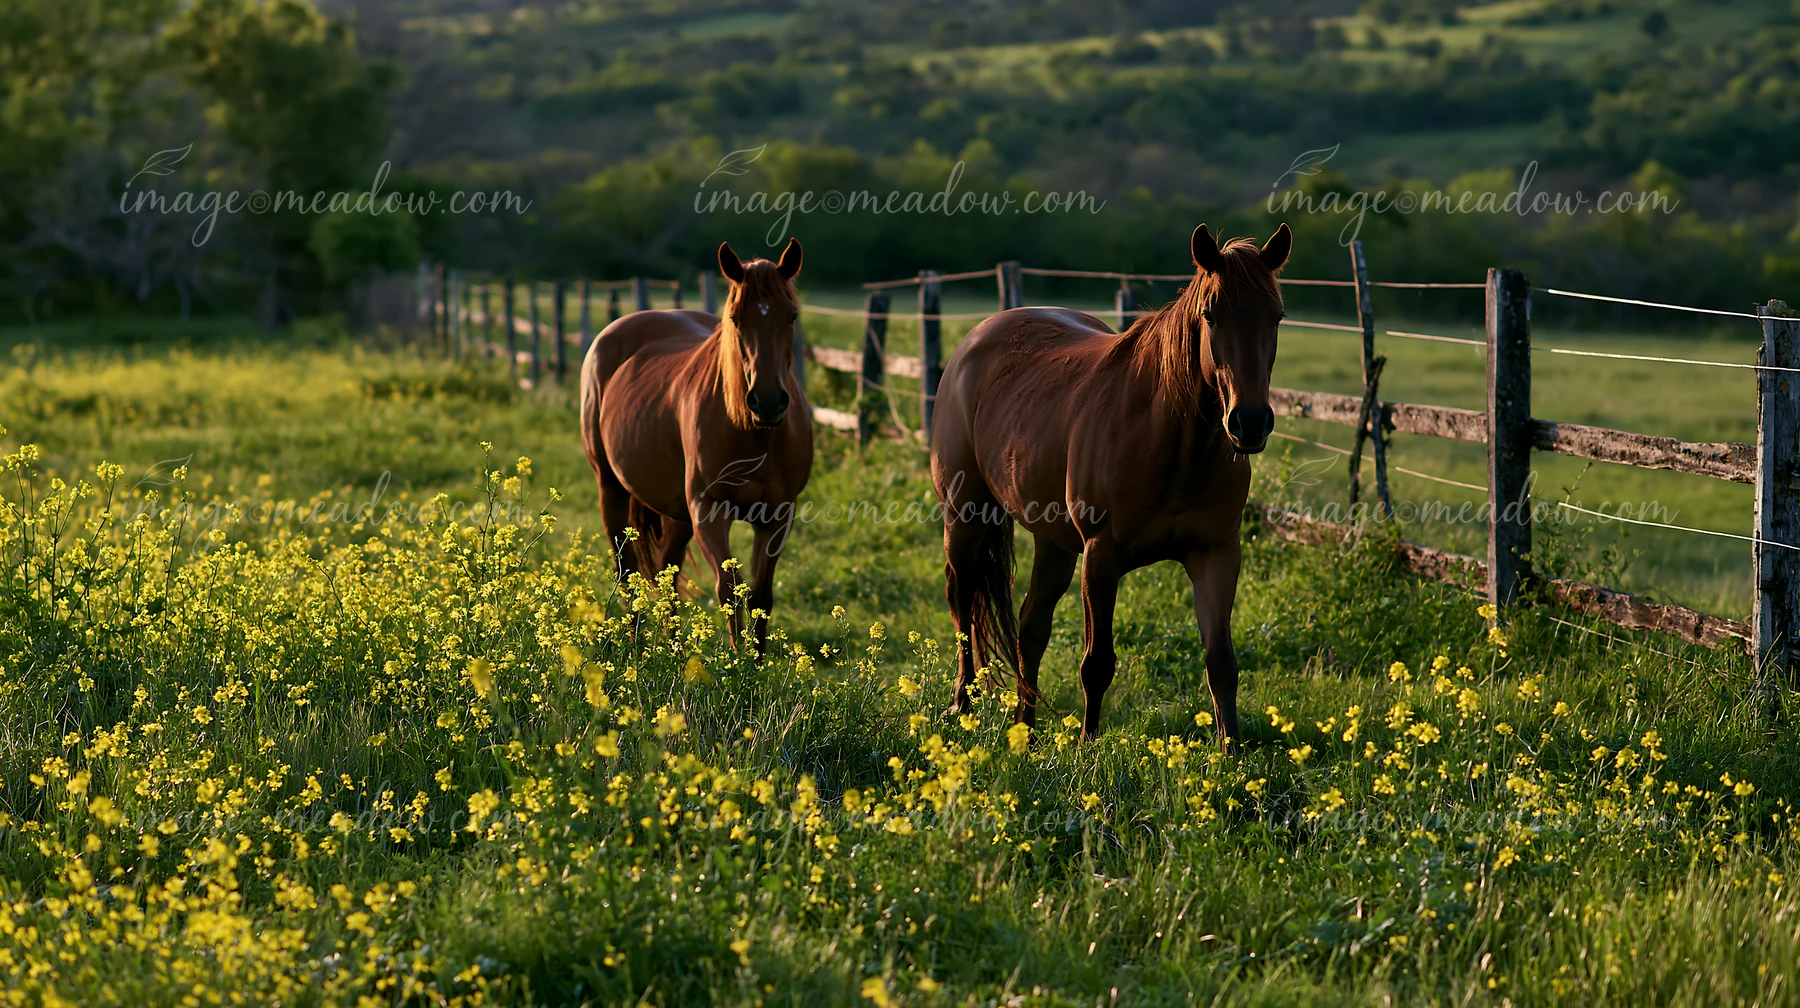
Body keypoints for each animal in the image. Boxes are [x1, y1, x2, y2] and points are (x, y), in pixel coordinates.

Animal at [579, 238, 813, 652]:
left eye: (792, 316)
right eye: (736, 319)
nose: (768, 401)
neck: (754, 433)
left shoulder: (778, 516)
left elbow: (760, 596)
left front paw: (757, 662)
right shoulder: (709, 511)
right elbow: (729, 590)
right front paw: (739, 665)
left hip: (677, 513)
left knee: (667, 575)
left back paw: (672, 650)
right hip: (611, 486)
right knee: (626, 570)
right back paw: (635, 647)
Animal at [929, 223, 1291, 747]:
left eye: (1277, 315)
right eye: (1210, 314)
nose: (1250, 422)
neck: (1172, 442)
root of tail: (975, 340)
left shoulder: (1216, 555)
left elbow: (1221, 663)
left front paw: (1233, 753)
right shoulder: (1102, 557)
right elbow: (1097, 662)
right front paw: (1088, 746)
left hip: (1054, 544)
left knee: (1030, 629)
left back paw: (1025, 731)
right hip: (964, 518)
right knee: (962, 605)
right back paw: (961, 705)